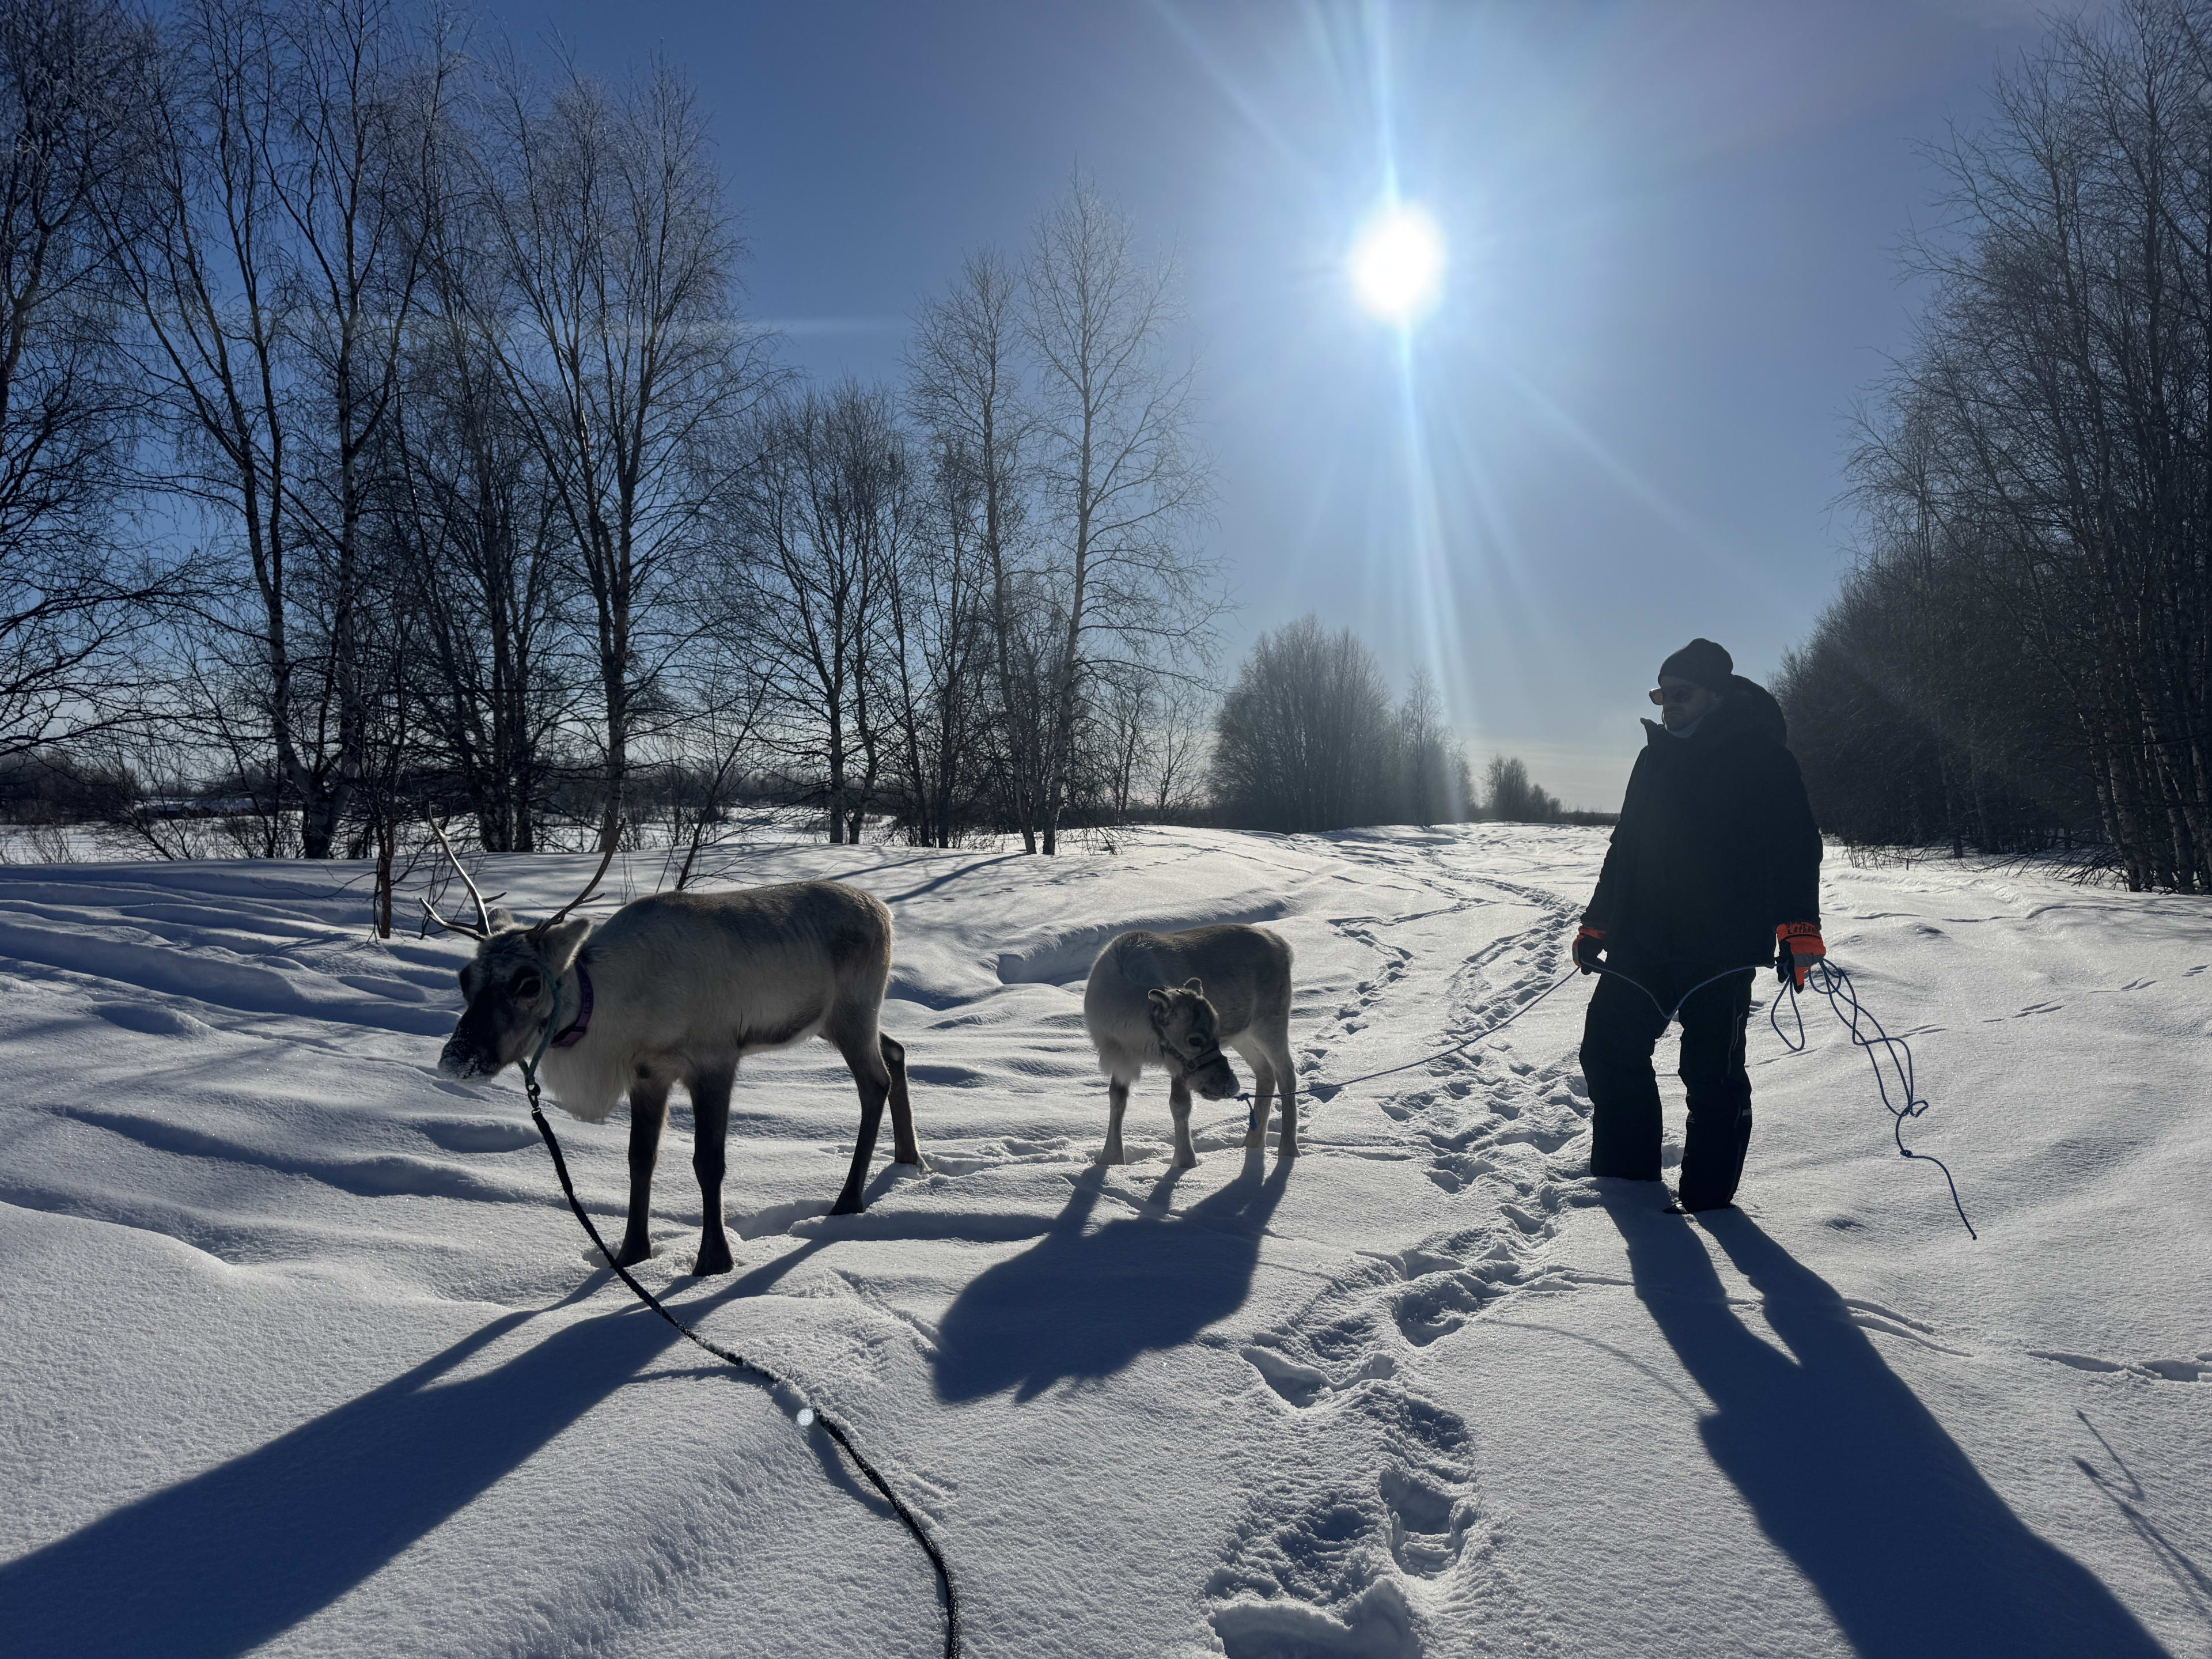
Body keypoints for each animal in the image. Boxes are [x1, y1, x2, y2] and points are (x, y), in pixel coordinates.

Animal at [426, 832, 918, 1275]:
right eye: (465, 979)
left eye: (529, 982)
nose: (457, 1058)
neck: (616, 1009)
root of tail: (885, 912)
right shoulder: (648, 1073)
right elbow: (640, 1158)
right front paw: (630, 1254)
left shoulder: (714, 1060)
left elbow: (708, 1162)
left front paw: (714, 1261)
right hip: (838, 1021)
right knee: (895, 1051)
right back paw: (908, 1158)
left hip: (853, 1012)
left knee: (875, 1081)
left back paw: (848, 1200)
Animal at [1082, 924, 1297, 1168]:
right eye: (1195, 1040)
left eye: (1216, 1032)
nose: (1230, 1085)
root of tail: (1283, 945)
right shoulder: (1120, 1059)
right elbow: (1117, 1099)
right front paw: (1111, 1159)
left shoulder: (1178, 1067)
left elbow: (1179, 1105)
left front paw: (1185, 1162)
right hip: (1244, 1036)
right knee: (1266, 1073)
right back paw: (1251, 1144)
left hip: (1270, 1024)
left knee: (1286, 1074)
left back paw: (1288, 1150)